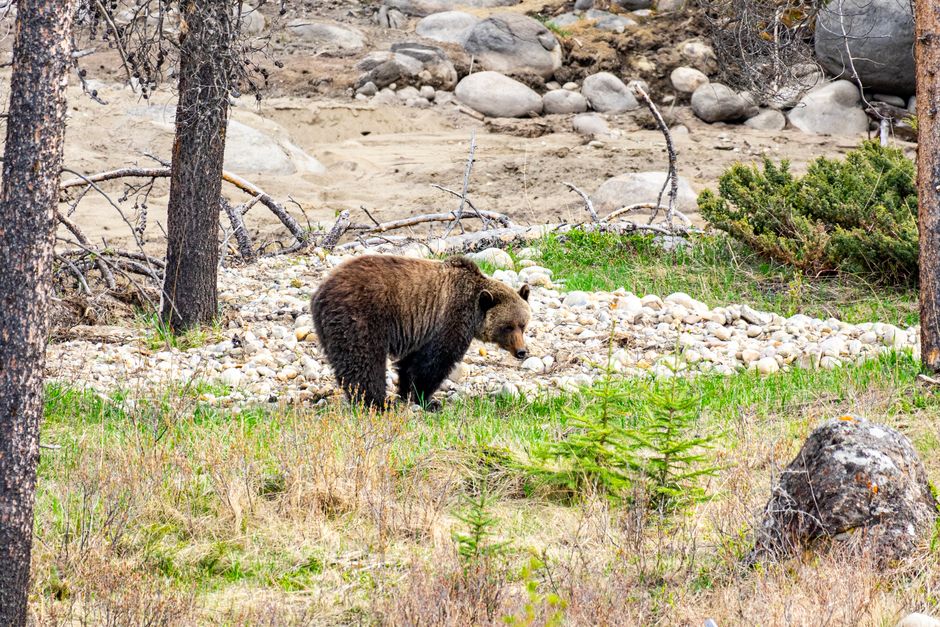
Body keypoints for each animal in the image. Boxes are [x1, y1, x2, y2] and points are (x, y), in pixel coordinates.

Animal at [310, 254, 530, 410]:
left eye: (523, 325)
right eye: (508, 326)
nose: (522, 351)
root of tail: (319, 292)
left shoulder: (420, 329)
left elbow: (410, 363)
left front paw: (406, 392)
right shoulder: (450, 319)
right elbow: (436, 361)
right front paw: (428, 400)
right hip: (361, 317)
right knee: (364, 361)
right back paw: (377, 403)